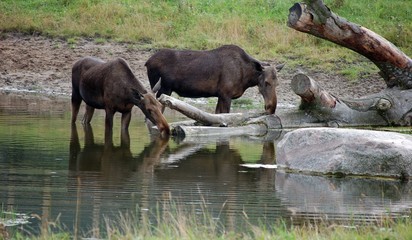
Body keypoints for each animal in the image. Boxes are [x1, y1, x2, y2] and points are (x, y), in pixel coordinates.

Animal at [145, 45, 284, 114]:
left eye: (277, 83)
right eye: (266, 82)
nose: (271, 108)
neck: (246, 78)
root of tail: (147, 62)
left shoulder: (221, 95)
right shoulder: (226, 94)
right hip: (164, 88)